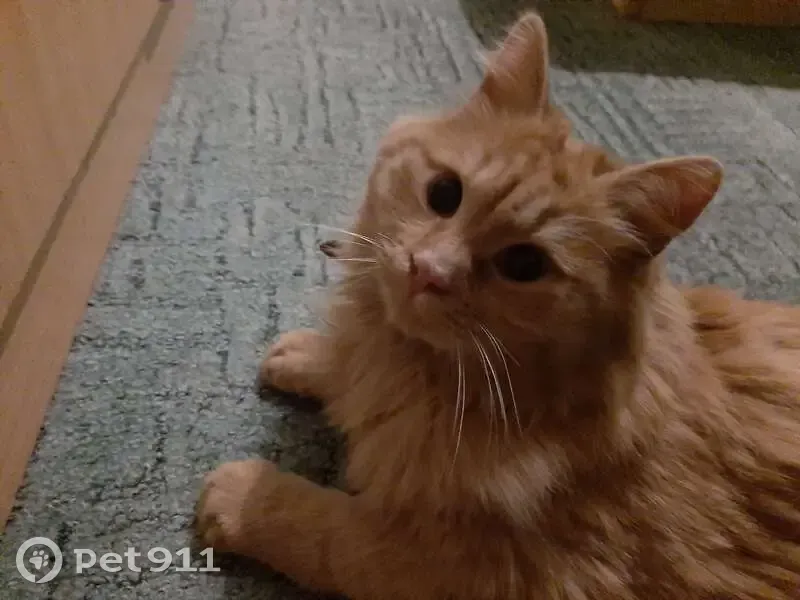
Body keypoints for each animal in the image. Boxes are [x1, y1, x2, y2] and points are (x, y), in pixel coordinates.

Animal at [195, 12, 800, 599]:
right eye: (444, 193)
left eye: (525, 265)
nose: (429, 270)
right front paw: (314, 357)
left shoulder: (468, 568)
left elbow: (328, 533)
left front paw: (243, 498)